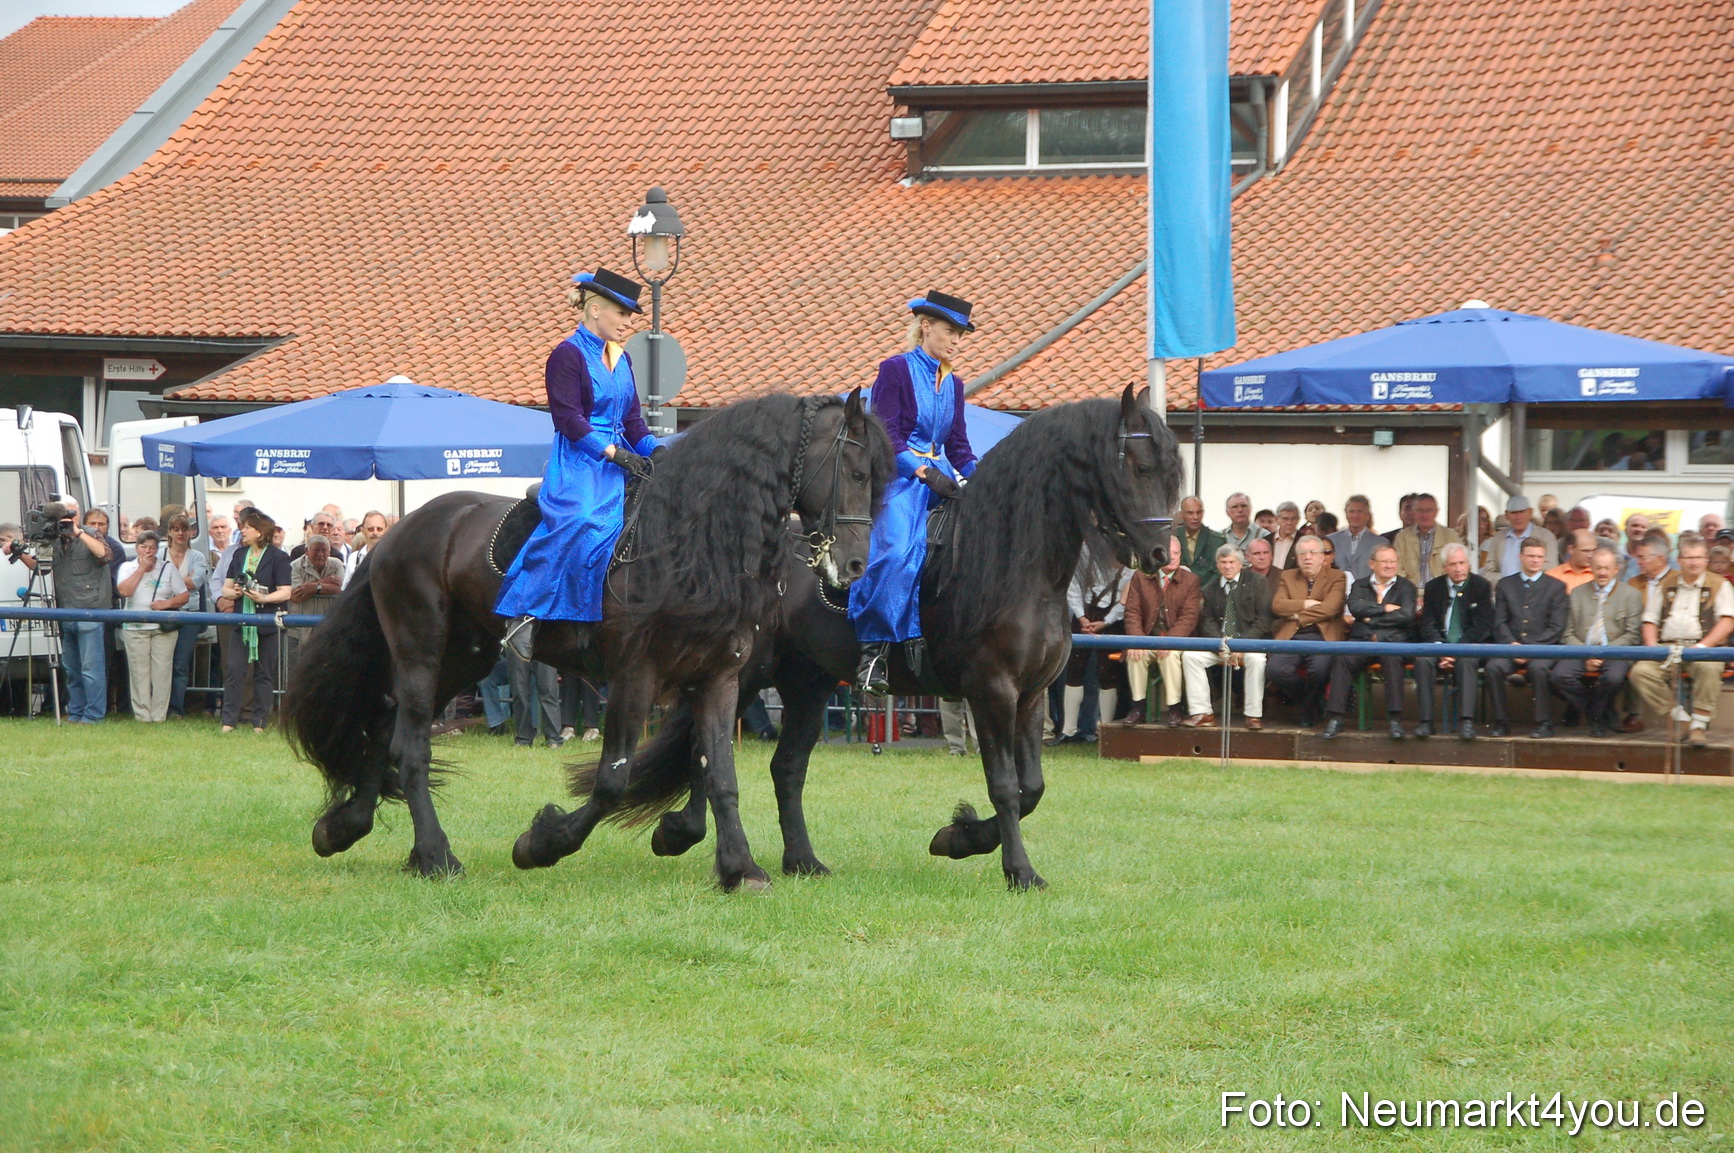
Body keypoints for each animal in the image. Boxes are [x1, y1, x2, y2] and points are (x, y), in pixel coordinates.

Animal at [282, 391, 890, 883]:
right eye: (859, 474)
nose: (856, 566)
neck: (690, 541)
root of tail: (399, 531)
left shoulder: (718, 676)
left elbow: (719, 774)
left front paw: (739, 867)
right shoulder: (635, 676)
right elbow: (612, 781)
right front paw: (542, 844)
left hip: (464, 660)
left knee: (385, 730)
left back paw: (347, 828)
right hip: (420, 653)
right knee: (409, 745)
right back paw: (435, 856)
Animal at [554, 384, 1183, 889]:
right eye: (1139, 466)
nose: (1160, 554)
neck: (1013, 562)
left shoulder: (1029, 697)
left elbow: (1032, 788)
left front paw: (960, 838)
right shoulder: (992, 691)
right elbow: (1006, 786)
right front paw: (1013, 867)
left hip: (803, 682)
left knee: (781, 767)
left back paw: (797, 859)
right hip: (743, 672)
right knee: (702, 750)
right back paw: (685, 832)